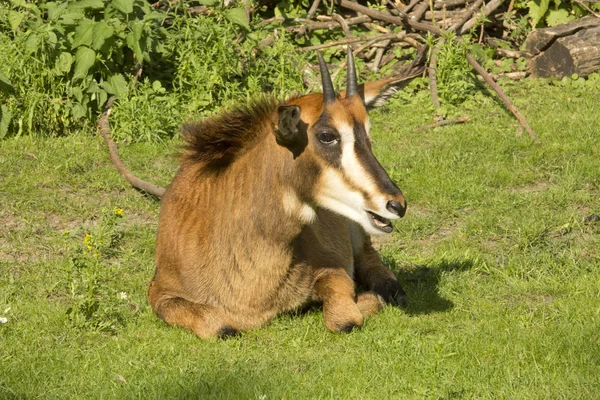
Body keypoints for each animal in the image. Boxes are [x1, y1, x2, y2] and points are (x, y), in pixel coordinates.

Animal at [149, 49, 412, 338]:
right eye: (326, 135)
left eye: (367, 134)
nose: (396, 204)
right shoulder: (159, 292)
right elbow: (220, 327)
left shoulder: (333, 267)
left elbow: (346, 318)